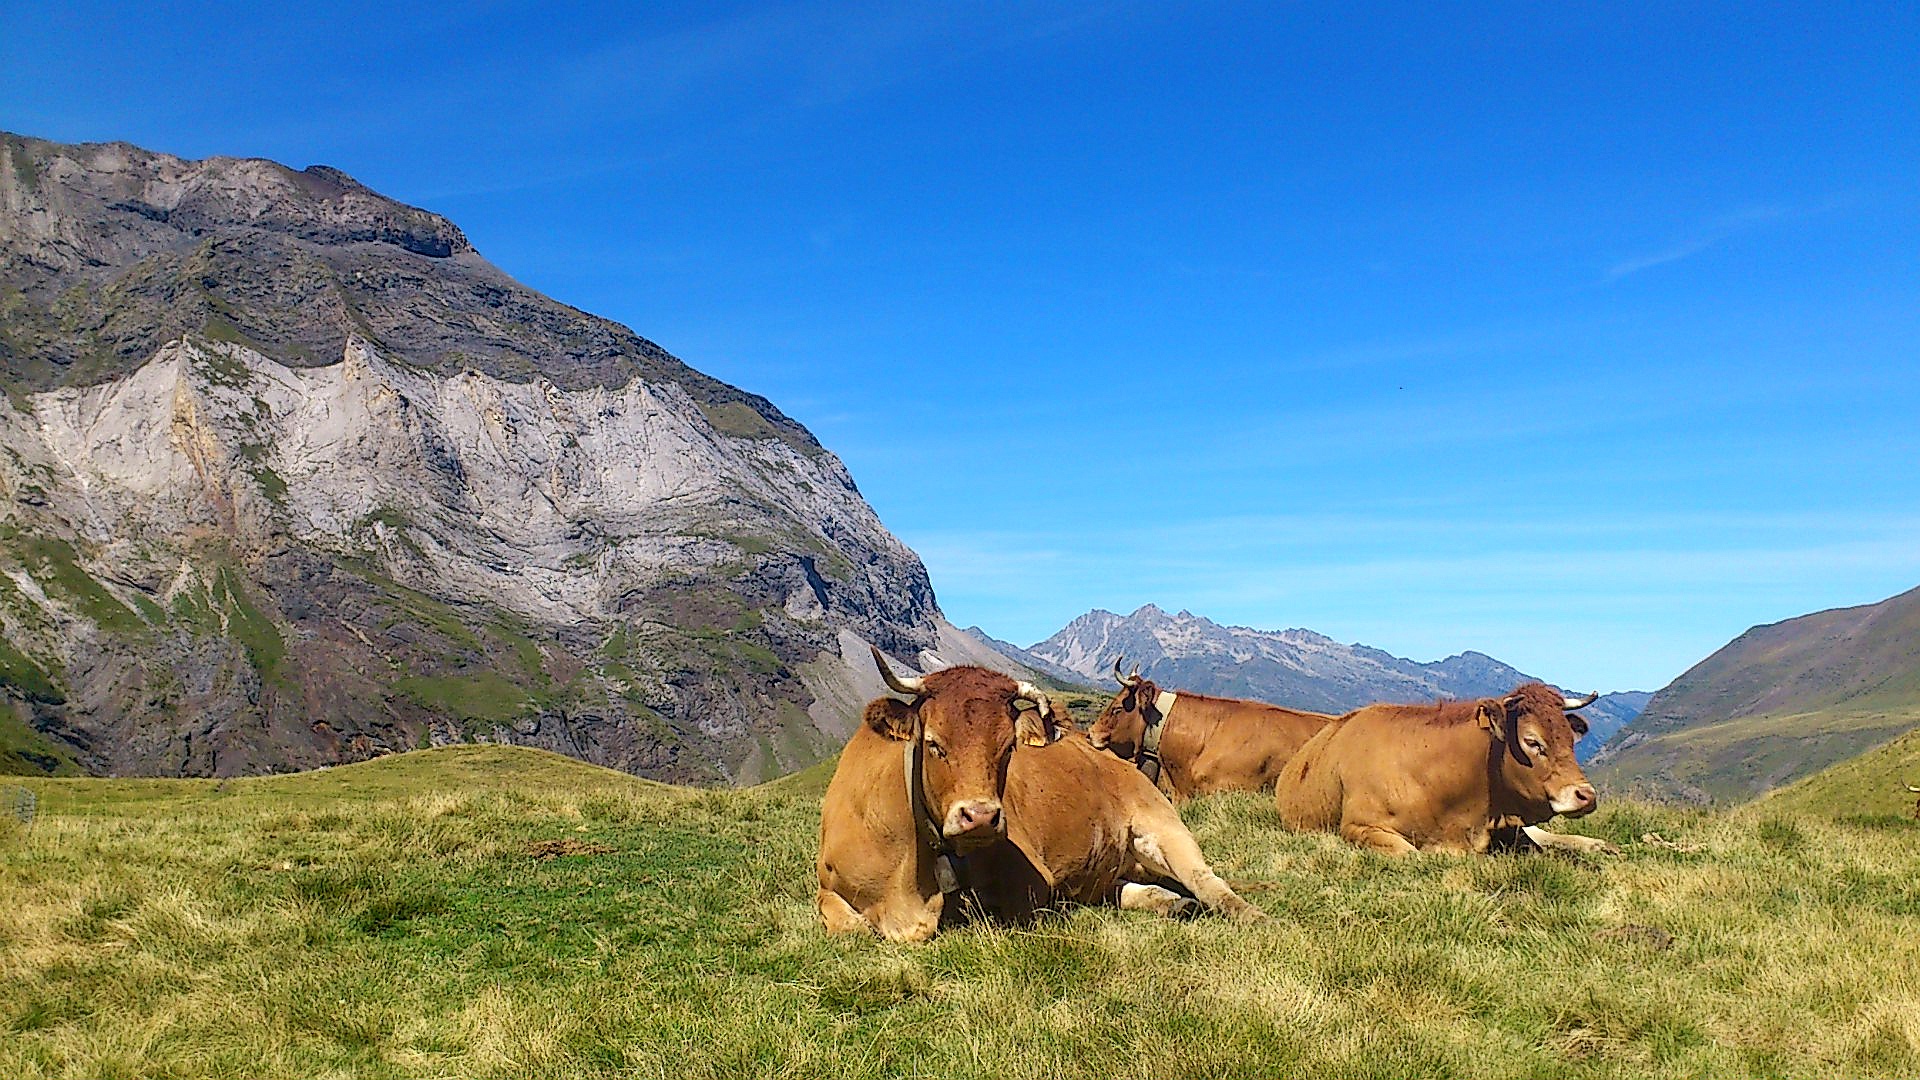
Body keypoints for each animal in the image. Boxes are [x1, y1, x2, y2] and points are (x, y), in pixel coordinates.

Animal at [816, 647, 1265, 940]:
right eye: (933, 744)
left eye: (1008, 747)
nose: (981, 817)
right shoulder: (827, 889)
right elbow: (852, 925)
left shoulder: (1032, 884)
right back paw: (1170, 901)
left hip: (1164, 826)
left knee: (1208, 883)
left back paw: (1248, 914)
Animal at [1275, 682, 1609, 855]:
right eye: (1532, 741)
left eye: (1570, 739)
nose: (1587, 795)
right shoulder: (1357, 826)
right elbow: (1411, 854)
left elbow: (1537, 846)